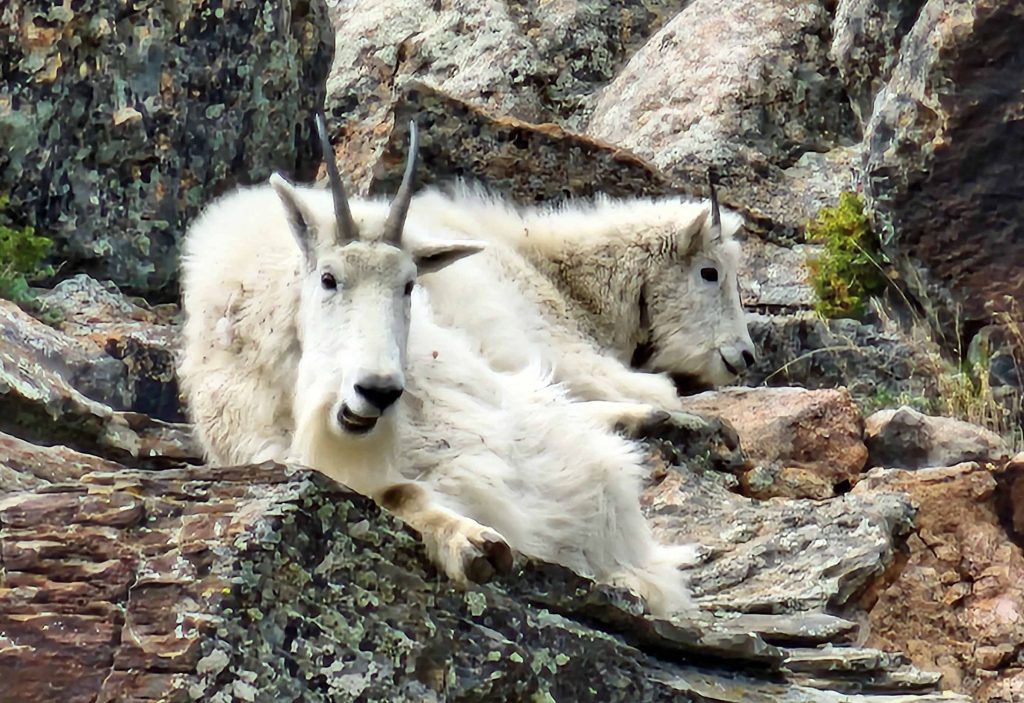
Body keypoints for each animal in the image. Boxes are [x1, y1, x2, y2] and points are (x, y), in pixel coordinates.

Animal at [180, 114, 700, 613]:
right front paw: (472, 545)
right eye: (328, 278)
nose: (378, 391)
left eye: (409, 285)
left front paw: (479, 541)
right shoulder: (262, 447)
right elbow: (394, 492)